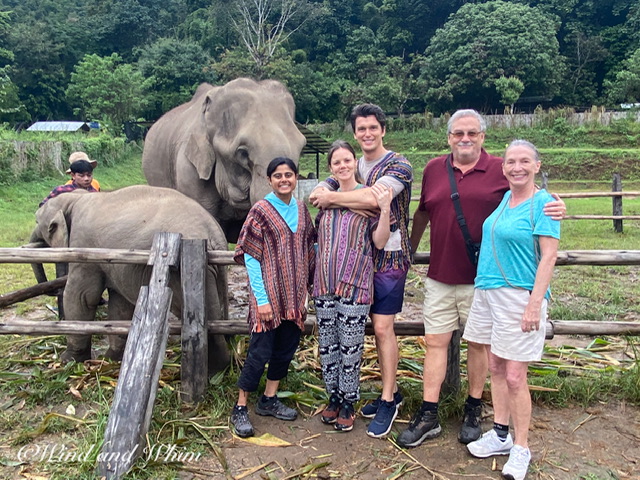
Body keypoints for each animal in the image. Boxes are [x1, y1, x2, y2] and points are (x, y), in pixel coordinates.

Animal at [30, 184, 230, 372]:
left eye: (37, 220)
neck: (76, 198)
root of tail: (214, 234)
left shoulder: (83, 246)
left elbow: (82, 297)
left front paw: (68, 360)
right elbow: (120, 304)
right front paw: (112, 359)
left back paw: (215, 370)